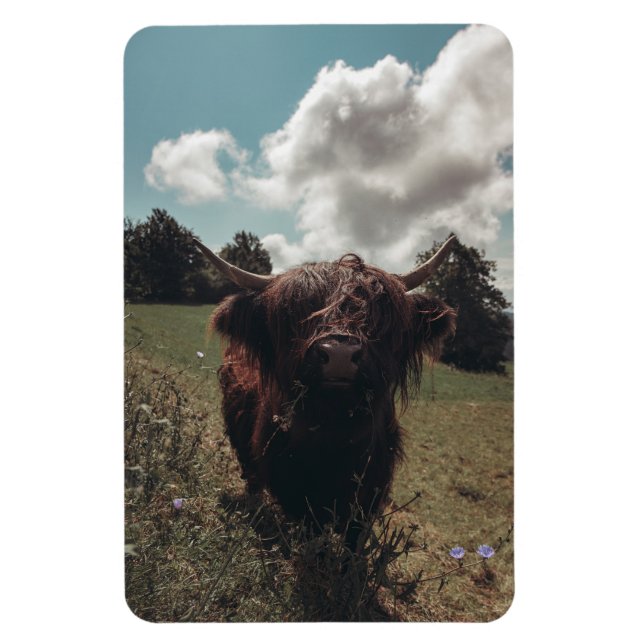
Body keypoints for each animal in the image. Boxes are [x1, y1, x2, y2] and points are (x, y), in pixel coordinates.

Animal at [194, 237, 456, 546]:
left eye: (379, 313)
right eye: (294, 312)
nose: (339, 354)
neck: (334, 434)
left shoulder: (370, 494)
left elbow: (354, 541)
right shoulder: (296, 491)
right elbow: (313, 535)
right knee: (252, 478)